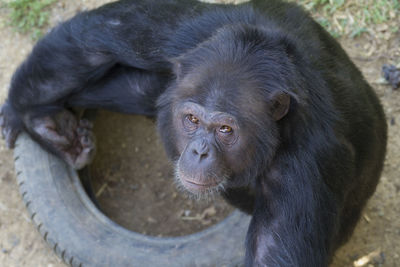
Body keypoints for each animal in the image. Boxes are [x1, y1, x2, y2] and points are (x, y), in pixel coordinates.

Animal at [0, 0, 388, 266]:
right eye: (191, 120)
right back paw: (55, 130)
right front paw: (24, 111)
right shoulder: (187, 32)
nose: (200, 151)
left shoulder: (305, 170)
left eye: (225, 129)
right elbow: (97, 36)